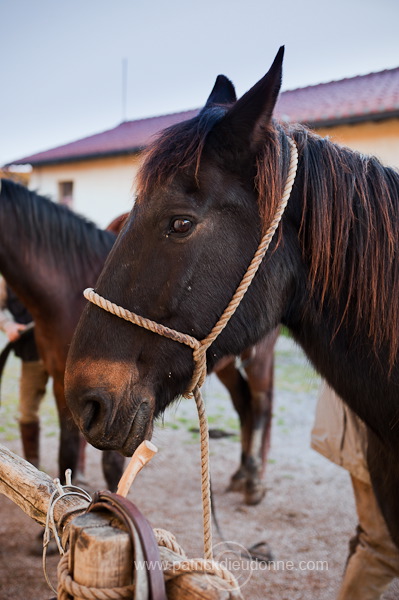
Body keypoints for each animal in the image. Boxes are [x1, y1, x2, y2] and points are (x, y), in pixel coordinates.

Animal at [0, 180, 278, 504]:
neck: (63, 293)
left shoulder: (113, 401)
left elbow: (110, 463)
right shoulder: (66, 384)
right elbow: (67, 451)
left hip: (257, 357)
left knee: (261, 406)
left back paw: (254, 480)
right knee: (244, 404)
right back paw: (241, 475)